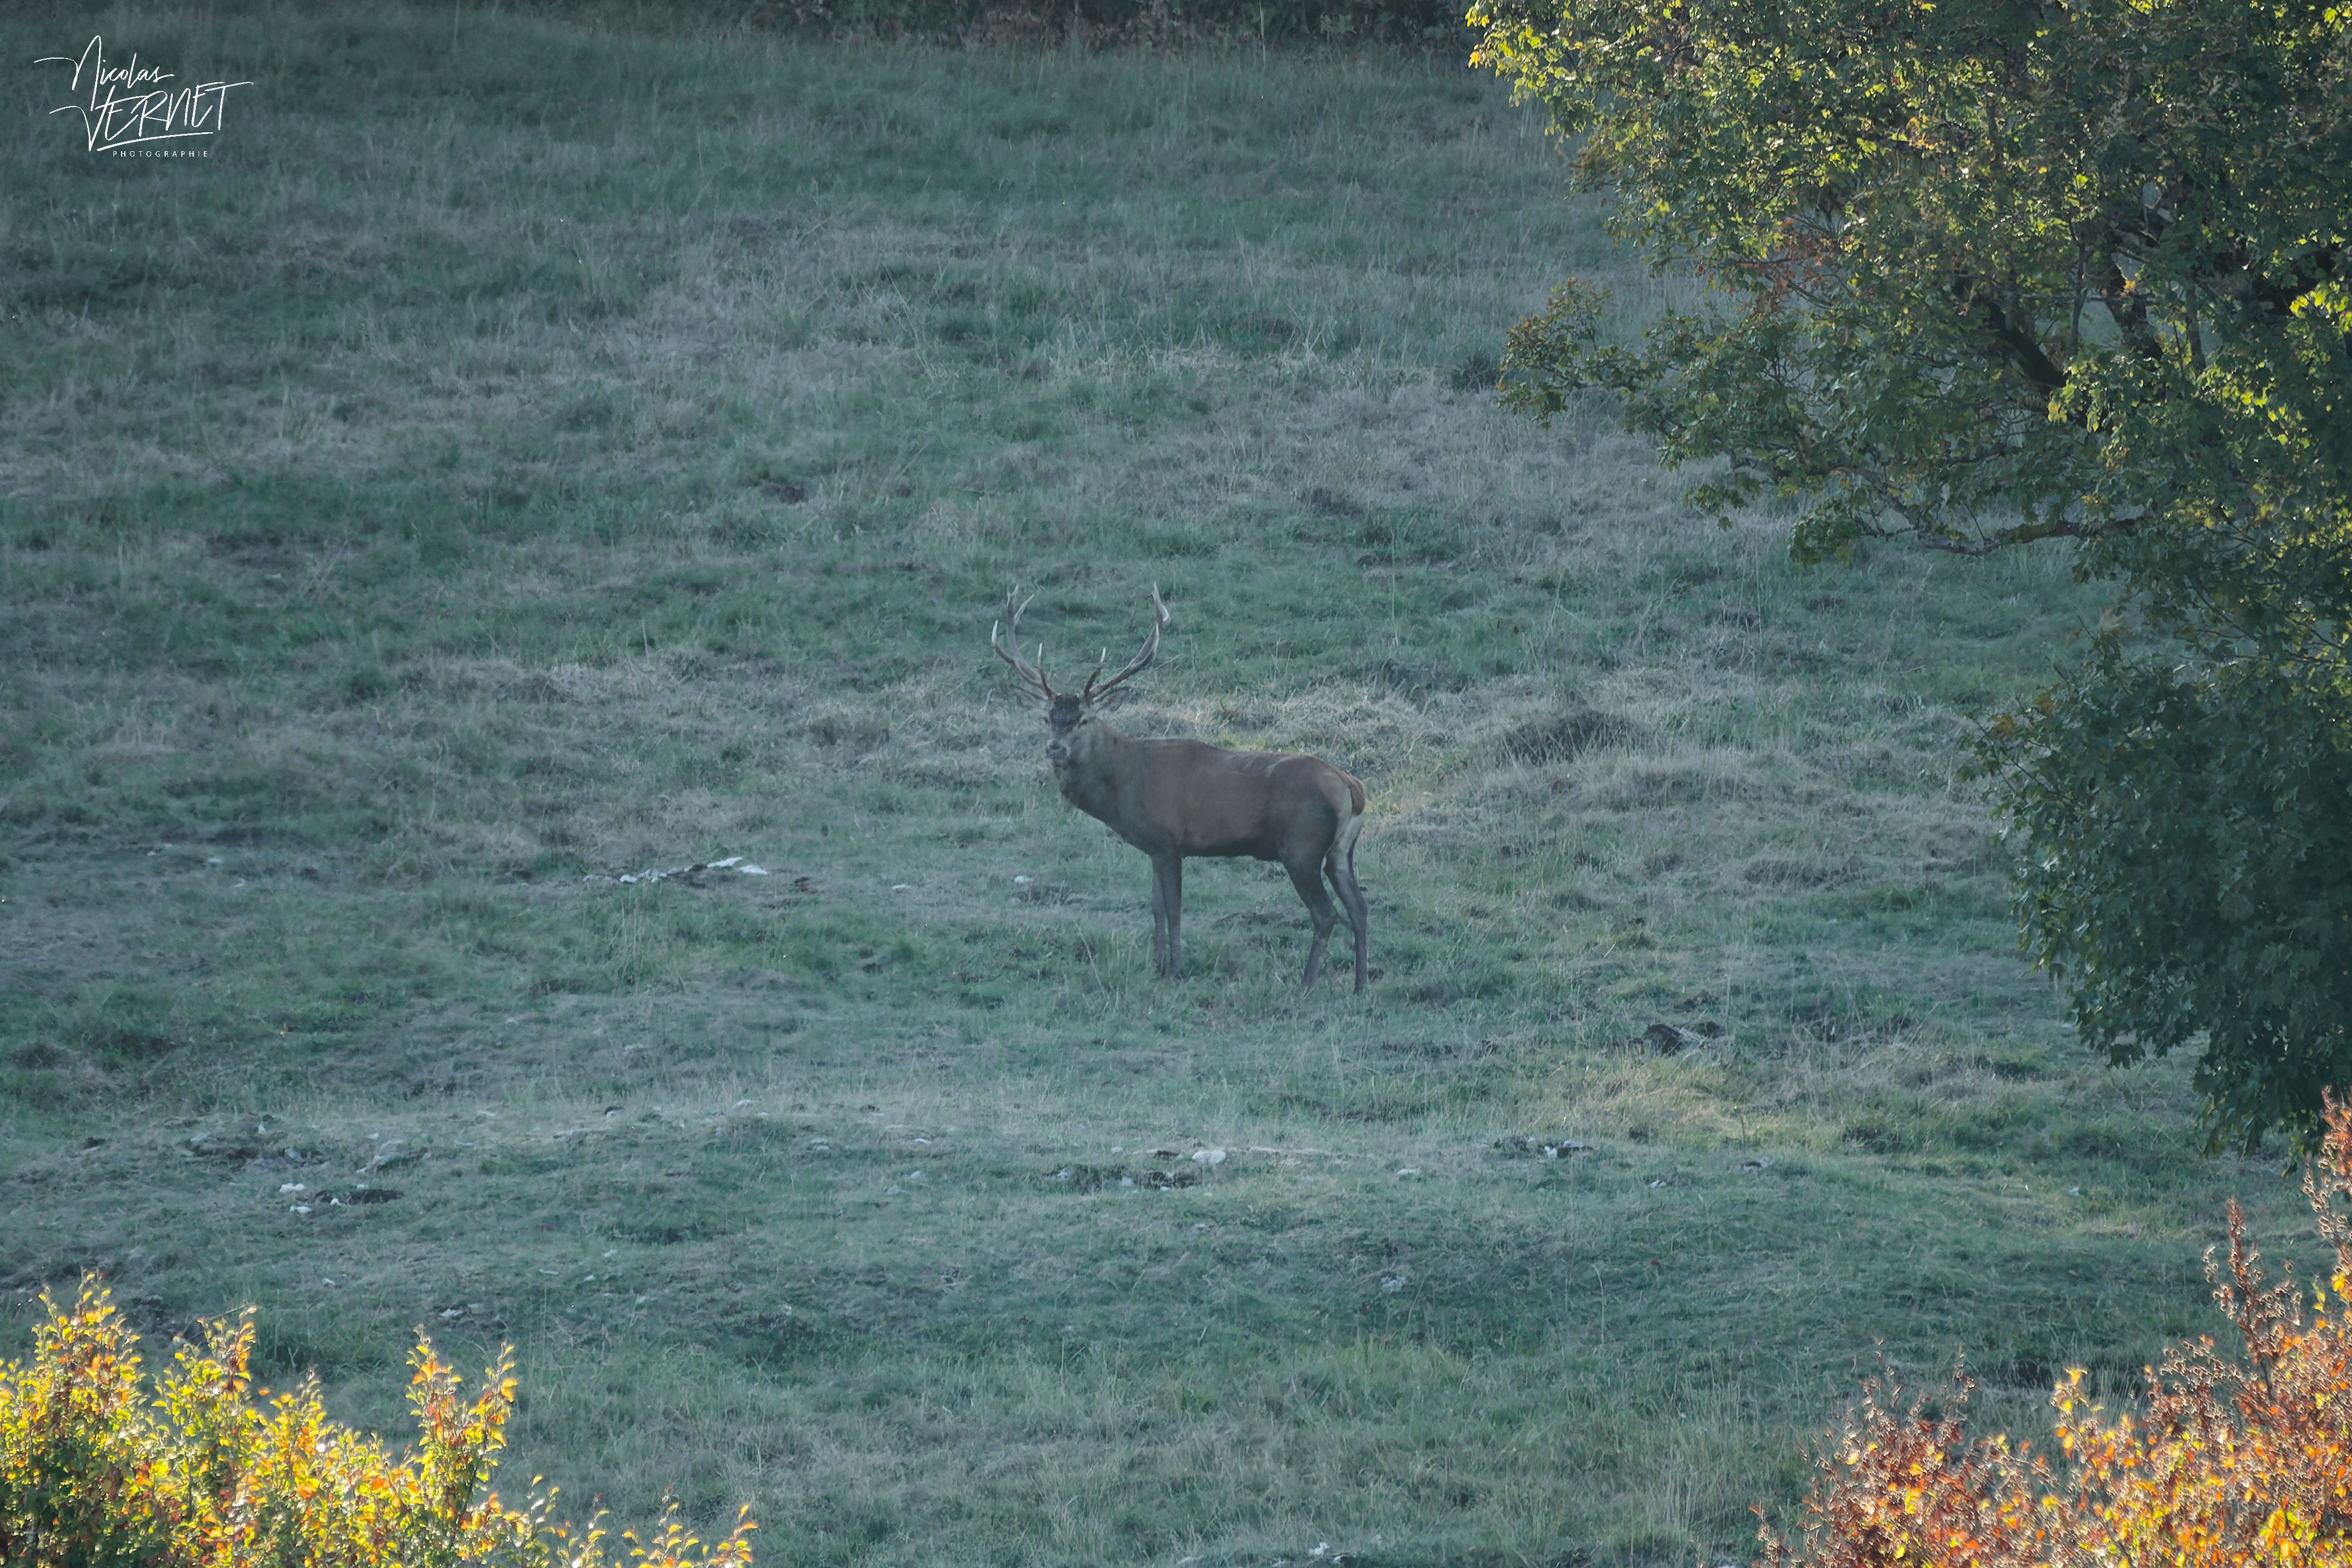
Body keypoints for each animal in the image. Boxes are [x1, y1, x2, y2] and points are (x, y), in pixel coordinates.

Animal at [992, 586, 1370, 992]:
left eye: (1084, 719)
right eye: (1048, 717)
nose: (1055, 749)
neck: (1122, 785)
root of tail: (1353, 787)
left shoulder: (1168, 840)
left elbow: (1172, 907)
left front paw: (1174, 969)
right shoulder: (1153, 846)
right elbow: (1156, 905)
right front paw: (1156, 965)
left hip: (1301, 848)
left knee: (1326, 914)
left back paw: (1306, 985)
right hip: (1340, 851)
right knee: (1360, 908)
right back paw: (1360, 985)